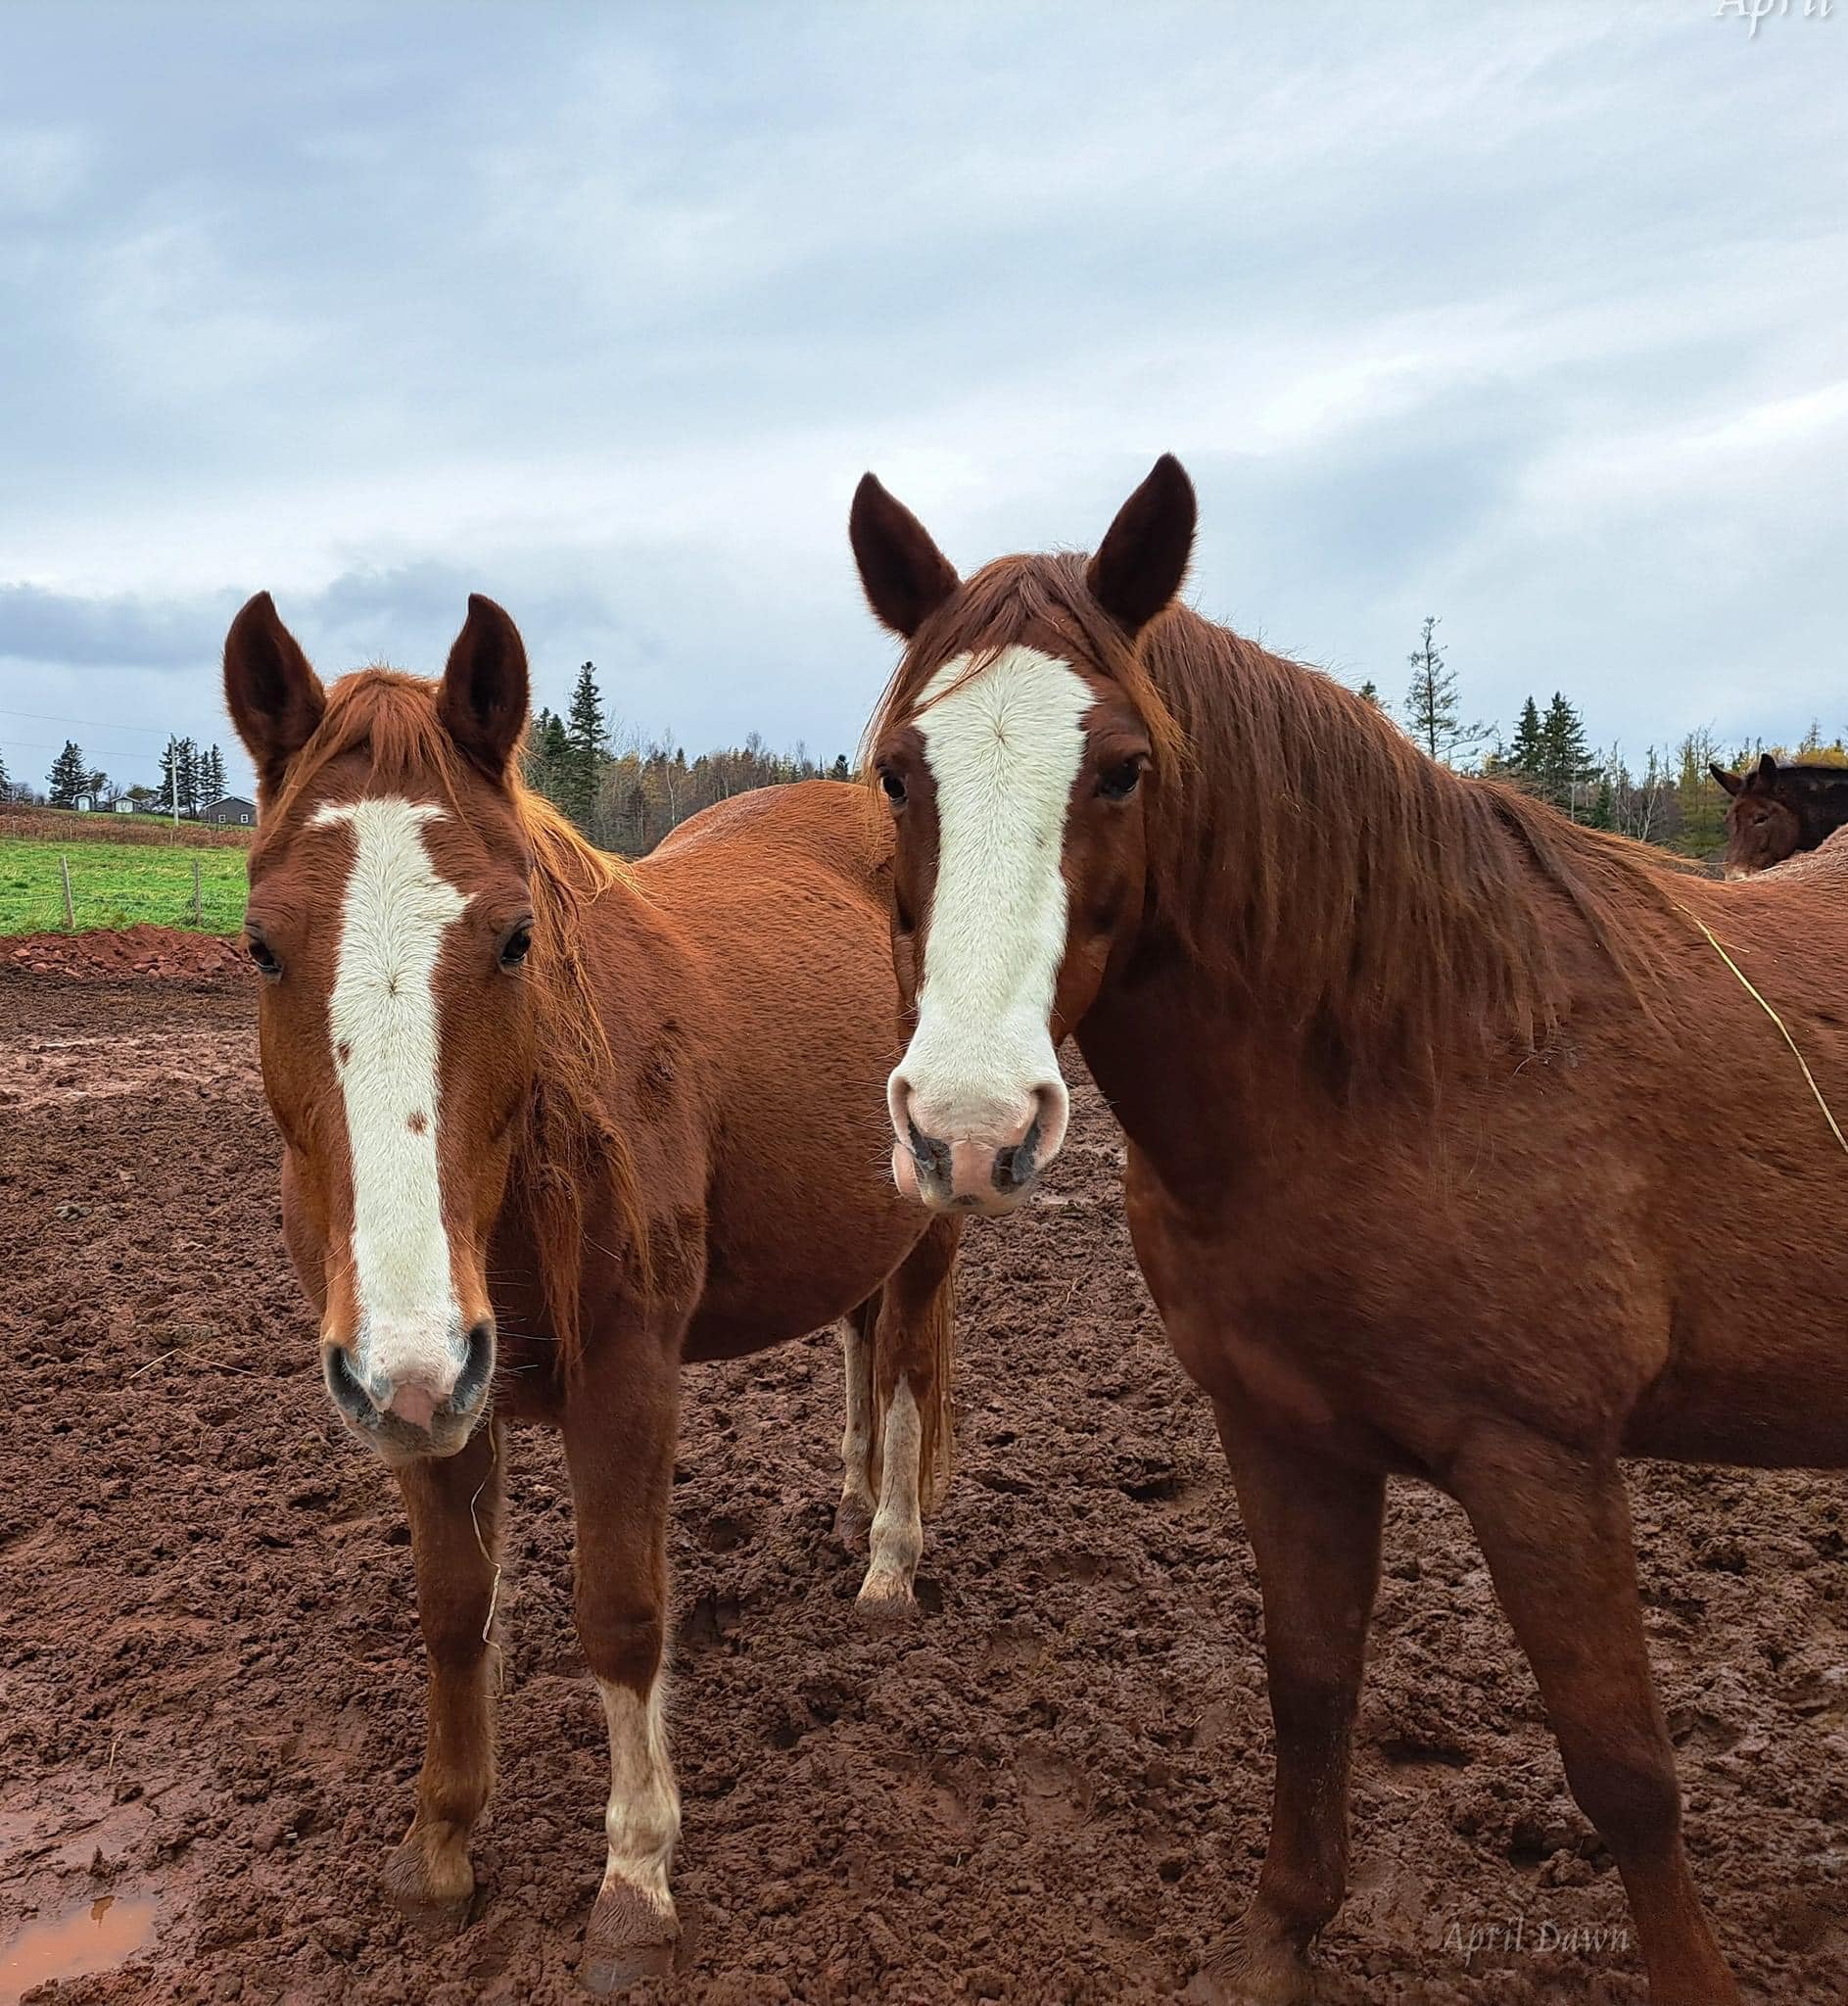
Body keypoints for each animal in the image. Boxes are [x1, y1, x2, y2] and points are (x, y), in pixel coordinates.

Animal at [223, 594, 959, 1989]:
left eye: (516, 937)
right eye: (261, 947)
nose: (409, 1346)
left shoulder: (622, 1376)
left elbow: (619, 1615)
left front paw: (635, 1877)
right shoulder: (427, 1390)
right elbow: (455, 1610)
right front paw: (440, 1845)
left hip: (939, 1211)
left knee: (908, 1367)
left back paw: (890, 1556)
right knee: (860, 1333)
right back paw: (848, 1503)